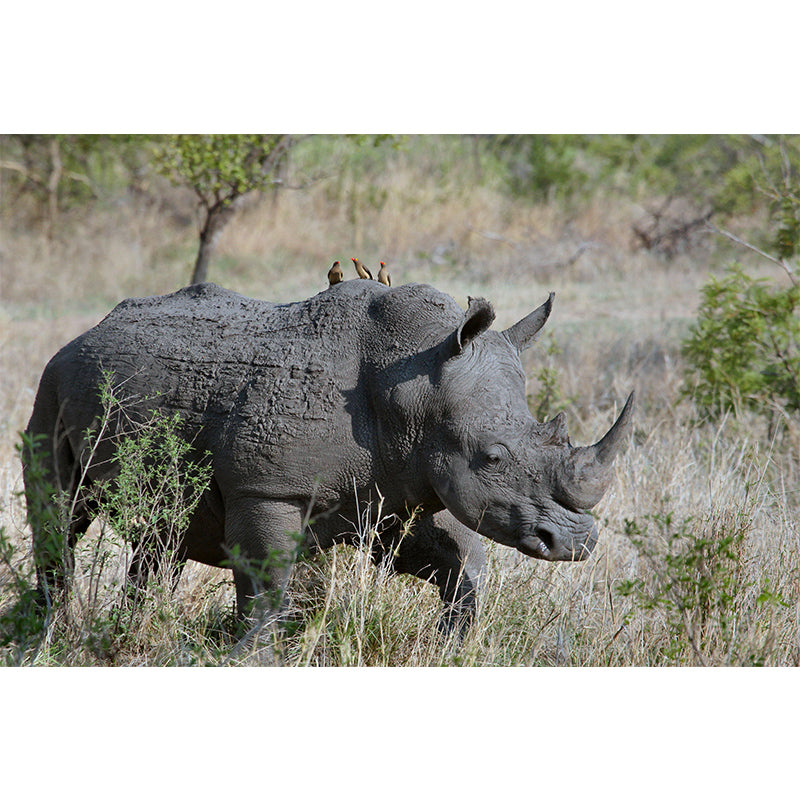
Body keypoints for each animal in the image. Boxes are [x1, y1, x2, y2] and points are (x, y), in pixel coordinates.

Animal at [23, 279, 633, 635]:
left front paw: (452, 644)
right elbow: (267, 584)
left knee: (161, 535)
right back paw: (49, 634)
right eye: (493, 456)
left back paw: (125, 631)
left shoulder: (395, 486)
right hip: (52, 380)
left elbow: (460, 561)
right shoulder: (267, 489)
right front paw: (254, 654)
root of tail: (87, 332)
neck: (414, 386)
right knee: (60, 512)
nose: (576, 544)